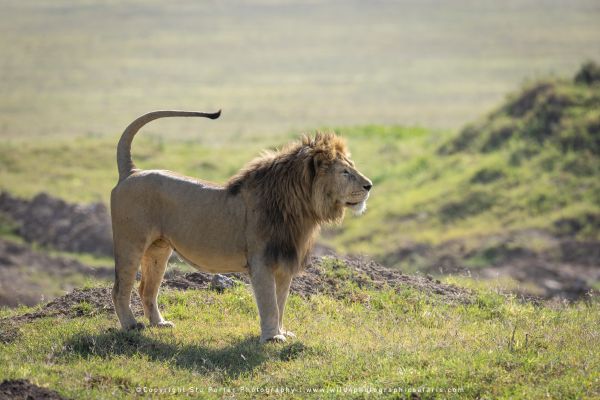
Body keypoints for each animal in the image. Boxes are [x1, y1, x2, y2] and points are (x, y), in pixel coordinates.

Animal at [108, 111, 370, 342]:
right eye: (345, 172)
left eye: (352, 166)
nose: (369, 185)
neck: (300, 210)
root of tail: (130, 172)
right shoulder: (261, 262)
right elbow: (269, 304)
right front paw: (272, 338)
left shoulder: (283, 263)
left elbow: (281, 302)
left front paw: (282, 332)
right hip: (130, 243)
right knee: (121, 288)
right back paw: (131, 325)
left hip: (159, 249)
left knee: (146, 289)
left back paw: (159, 323)